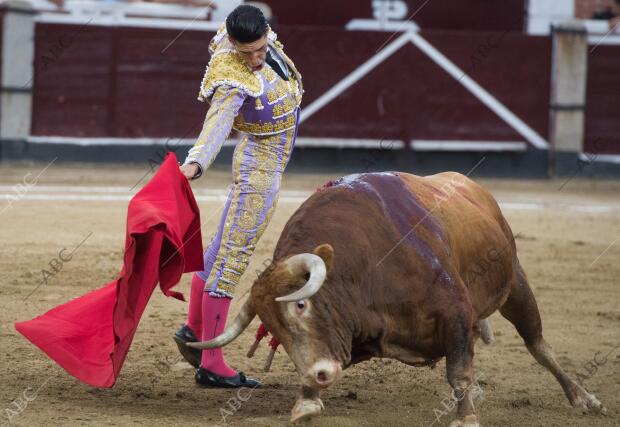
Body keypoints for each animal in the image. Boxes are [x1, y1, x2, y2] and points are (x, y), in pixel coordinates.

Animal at [188, 172, 604, 426]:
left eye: (301, 305)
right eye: (272, 329)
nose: (316, 373)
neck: (365, 267)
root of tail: (471, 186)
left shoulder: (455, 312)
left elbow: (458, 370)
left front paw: (465, 416)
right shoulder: (358, 335)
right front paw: (306, 399)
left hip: (515, 282)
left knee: (538, 344)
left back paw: (583, 398)